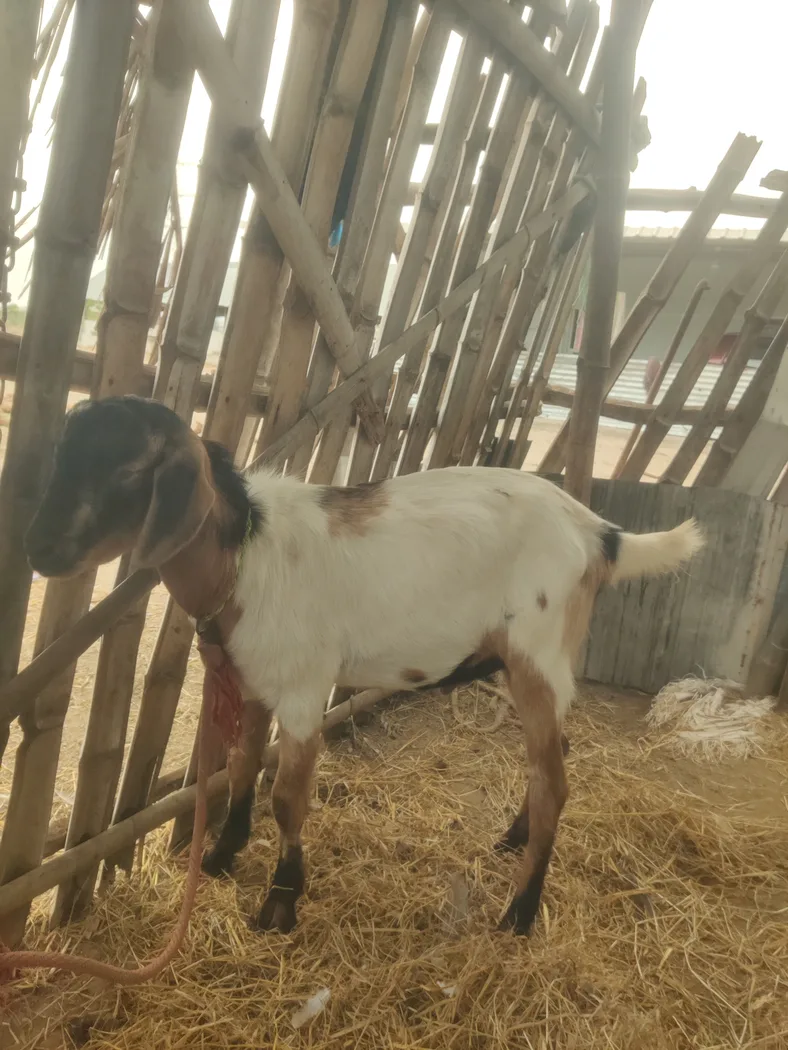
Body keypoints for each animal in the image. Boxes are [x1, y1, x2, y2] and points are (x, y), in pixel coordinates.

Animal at [26, 396, 703, 935]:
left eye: (131, 470)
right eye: (62, 456)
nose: (41, 550)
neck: (244, 555)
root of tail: (599, 534)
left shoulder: (304, 690)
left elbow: (286, 798)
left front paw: (280, 905)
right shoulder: (253, 682)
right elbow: (241, 769)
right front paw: (220, 858)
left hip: (537, 652)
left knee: (555, 784)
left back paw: (520, 914)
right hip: (531, 663)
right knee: (552, 758)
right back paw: (514, 840)